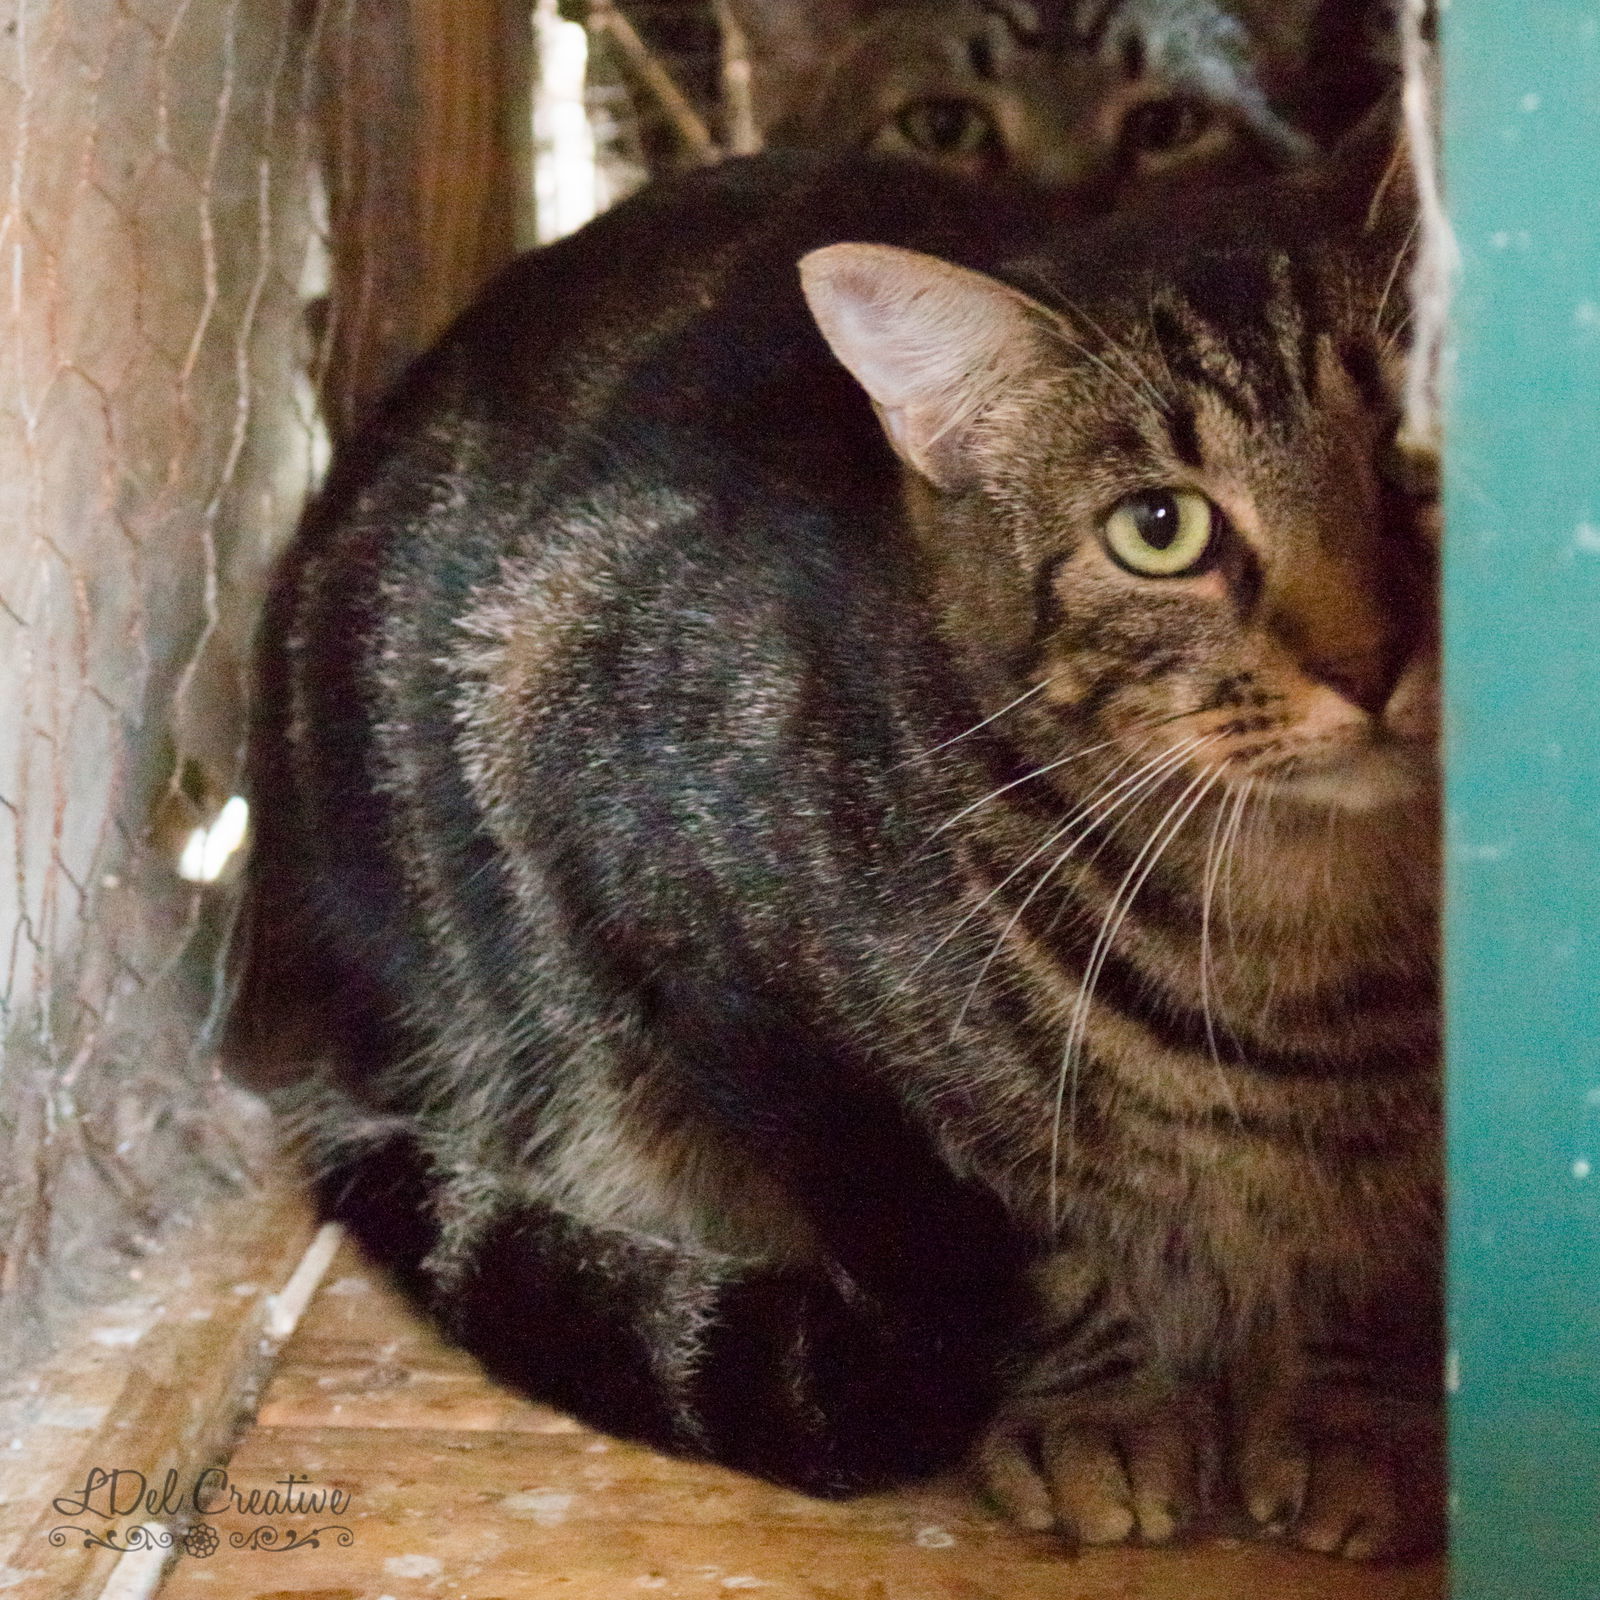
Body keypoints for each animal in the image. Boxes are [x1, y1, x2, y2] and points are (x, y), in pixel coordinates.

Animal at [232, 118, 1446, 1555]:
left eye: (1419, 457)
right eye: (1160, 530)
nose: (1367, 664)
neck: (1319, 944)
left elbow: (1380, 1258)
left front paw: (1348, 1408)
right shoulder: (696, 937)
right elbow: (1019, 1251)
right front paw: (1098, 1406)